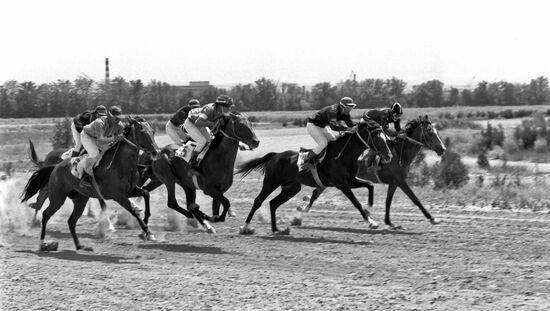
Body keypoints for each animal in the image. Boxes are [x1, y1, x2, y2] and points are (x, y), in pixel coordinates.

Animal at [21, 118, 160, 252]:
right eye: (142, 132)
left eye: (153, 132)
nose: (156, 152)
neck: (121, 164)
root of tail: (55, 167)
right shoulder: (118, 196)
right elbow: (133, 211)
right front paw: (148, 232)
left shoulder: (130, 190)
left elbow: (146, 193)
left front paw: (145, 224)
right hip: (57, 197)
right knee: (45, 212)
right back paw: (42, 242)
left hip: (80, 199)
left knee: (71, 221)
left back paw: (79, 246)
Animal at [235, 120, 394, 235]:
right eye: (377, 138)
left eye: (385, 138)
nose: (388, 156)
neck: (343, 155)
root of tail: (276, 155)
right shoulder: (342, 184)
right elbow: (356, 202)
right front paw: (371, 222)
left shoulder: (351, 180)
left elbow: (370, 185)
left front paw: (369, 208)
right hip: (270, 183)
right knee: (258, 201)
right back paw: (245, 227)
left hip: (291, 188)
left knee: (273, 203)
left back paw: (277, 230)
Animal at [302, 116, 448, 230]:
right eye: (430, 132)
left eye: (436, 131)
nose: (443, 149)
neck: (400, 153)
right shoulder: (401, 181)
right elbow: (415, 199)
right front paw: (433, 219)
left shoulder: (394, 183)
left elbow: (388, 202)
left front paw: (389, 222)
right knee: (316, 193)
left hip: (330, 181)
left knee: (315, 193)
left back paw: (303, 210)